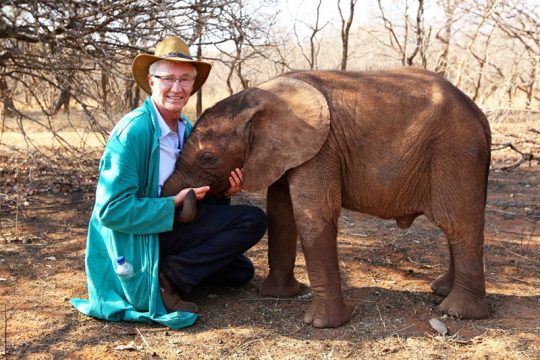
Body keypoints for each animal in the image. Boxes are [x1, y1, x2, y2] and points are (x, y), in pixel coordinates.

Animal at [162, 68, 492, 330]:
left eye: (207, 158)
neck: (264, 96)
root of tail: (478, 114)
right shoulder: (286, 151)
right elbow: (281, 213)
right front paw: (277, 295)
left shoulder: (321, 147)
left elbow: (312, 214)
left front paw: (322, 324)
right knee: (454, 225)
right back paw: (441, 290)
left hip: (456, 150)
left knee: (458, 223)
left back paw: (457, 312)